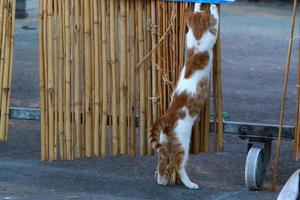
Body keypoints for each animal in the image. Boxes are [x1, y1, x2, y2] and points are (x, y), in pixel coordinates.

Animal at [149, 3, 219, 190]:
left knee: (162, 160)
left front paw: (196, 5)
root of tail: (167, 116)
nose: (204, 7)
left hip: (164, 140)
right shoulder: (212, 35)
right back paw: (190, 184)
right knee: (178, 164)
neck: (197, 39)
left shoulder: (190, 37)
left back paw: (162, 180)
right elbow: (216, 22)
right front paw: (213, 6)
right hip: (182, 142)